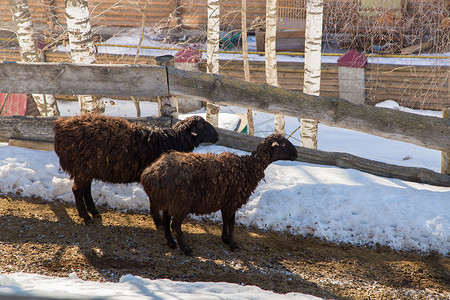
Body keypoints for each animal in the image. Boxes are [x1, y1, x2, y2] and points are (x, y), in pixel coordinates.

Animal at [53, 113, 219, 224]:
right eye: (202, 125)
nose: (217, 136)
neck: (171, 141)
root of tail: (60, 126)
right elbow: (154, 200)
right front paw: (158, 221)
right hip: (82, 167)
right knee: (77, 190)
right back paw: (85, 216)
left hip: (87, 168)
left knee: (86, 189)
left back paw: (94, 212)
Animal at [139, 135, 298, 254]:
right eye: (284, 144)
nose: (297, 154)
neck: (248, 167)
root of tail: (152, 173)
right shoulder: (233, 201)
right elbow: (232, 223)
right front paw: (233, 244)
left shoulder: (225, 201)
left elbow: (225, 220)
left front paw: (225, 238)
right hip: (181, 202)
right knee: (175, 225)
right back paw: (186, 249)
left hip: (170, 201)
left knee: (166, 221)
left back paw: (171, 243)